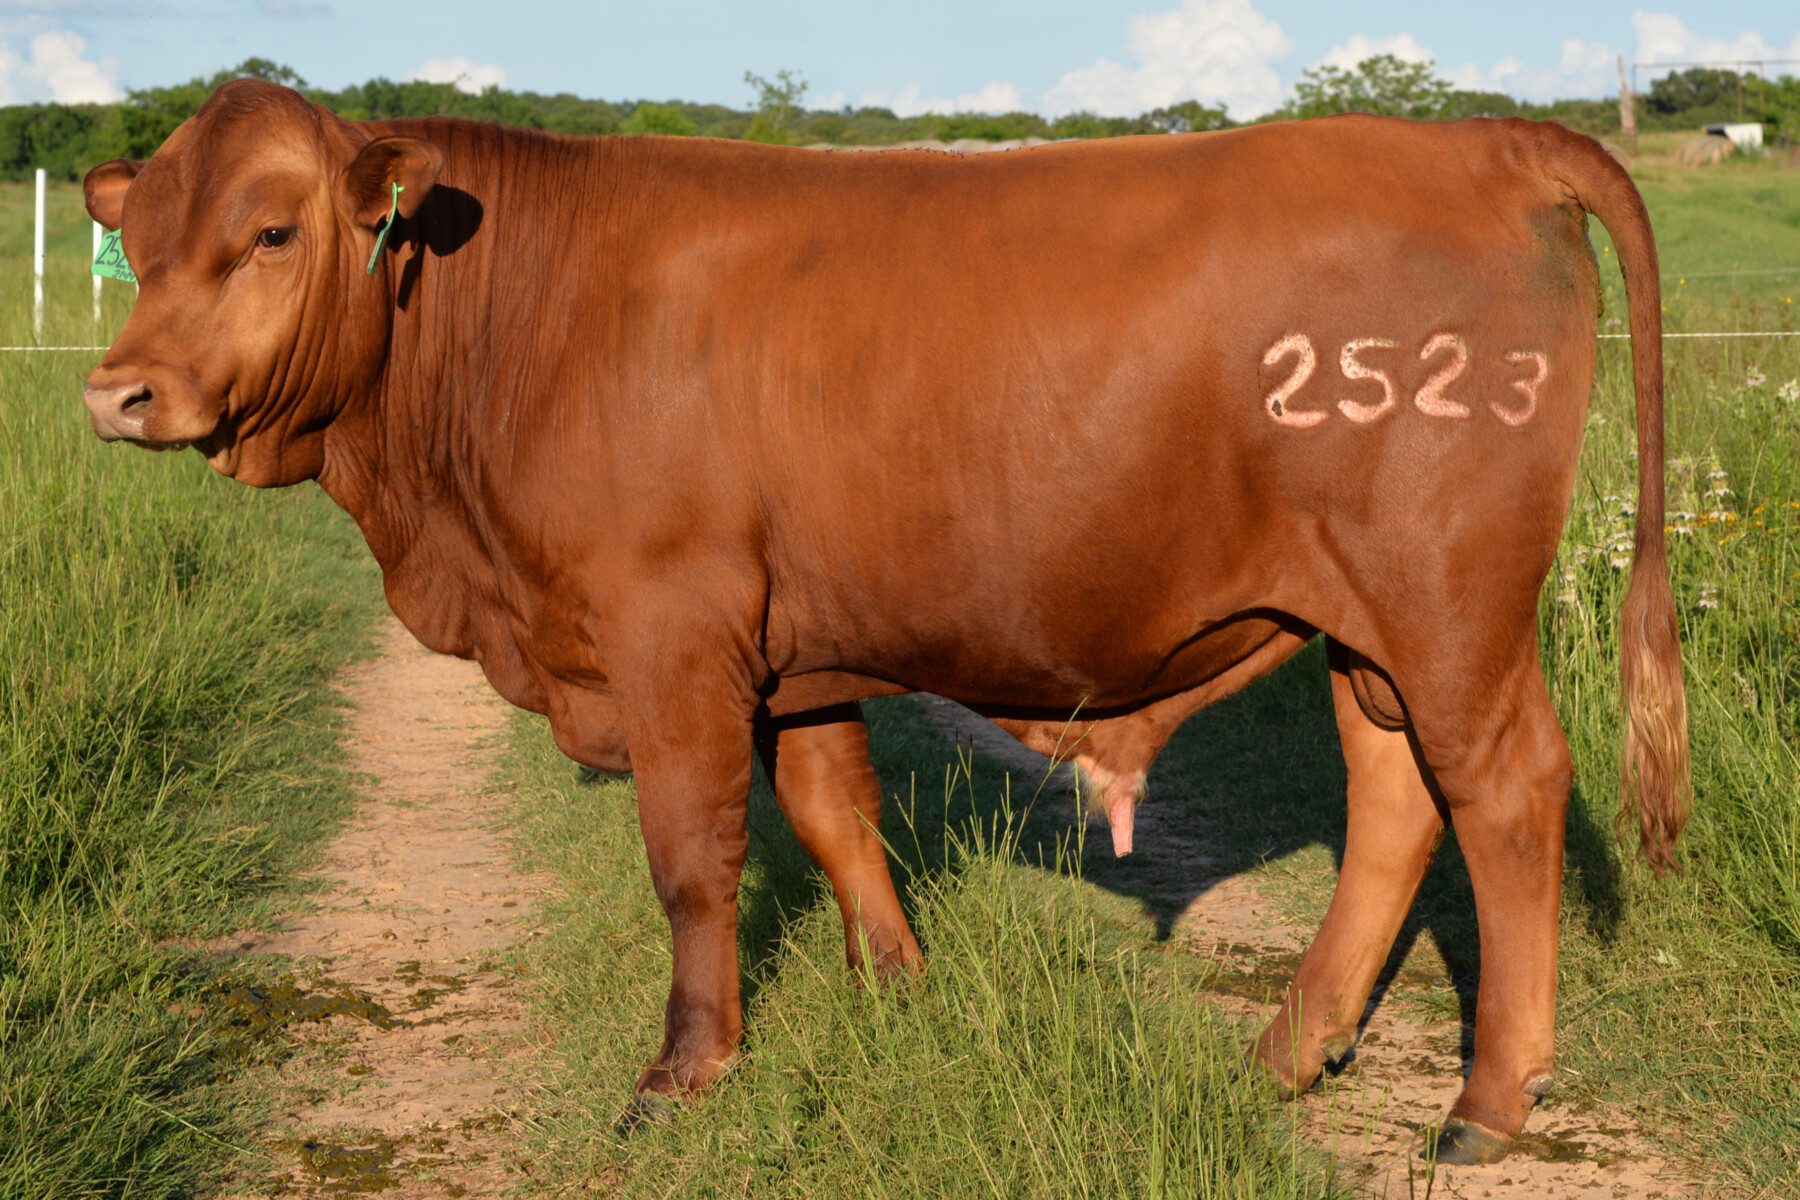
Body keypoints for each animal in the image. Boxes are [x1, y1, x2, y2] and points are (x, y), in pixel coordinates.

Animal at [79, 80, 1689, 1165]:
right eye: (140, 242)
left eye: (271, 230)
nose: (117, 392)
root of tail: (1479, 137)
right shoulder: (794, 651)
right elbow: (834, 810)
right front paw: (896, 992)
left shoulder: (672, 633)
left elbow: (694, 861)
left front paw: (684, 1071)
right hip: (1369, 629)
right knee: (1396, 798)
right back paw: (1288, 1057)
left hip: (1447, 604)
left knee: (1505, 793)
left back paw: (1488, 1102)